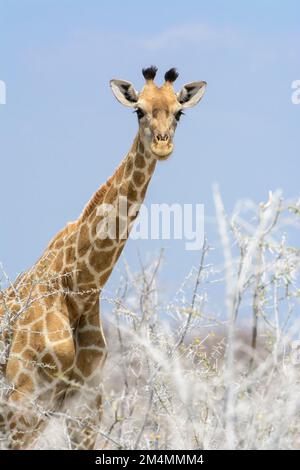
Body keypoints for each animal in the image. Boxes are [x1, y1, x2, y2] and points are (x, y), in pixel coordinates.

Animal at [0, 65, 206, 448]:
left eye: (178, 112)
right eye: (138, 110)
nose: (162, 144)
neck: (79, 284)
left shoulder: (85, 406)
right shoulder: (22, 398)